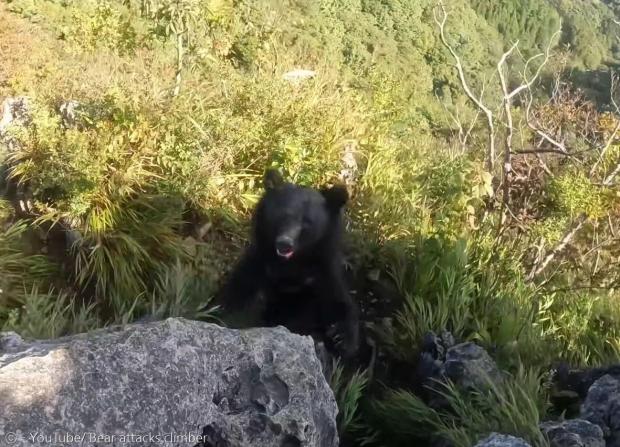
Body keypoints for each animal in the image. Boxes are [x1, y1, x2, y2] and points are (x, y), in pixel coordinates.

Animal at [220, 170, 360, 358]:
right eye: (283, 215)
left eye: (307, 222)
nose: (284, 244)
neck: (291, 264)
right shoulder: (259, 265)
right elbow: (238, 294)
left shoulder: (321, 274)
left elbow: (337, 302)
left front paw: (342, 338)